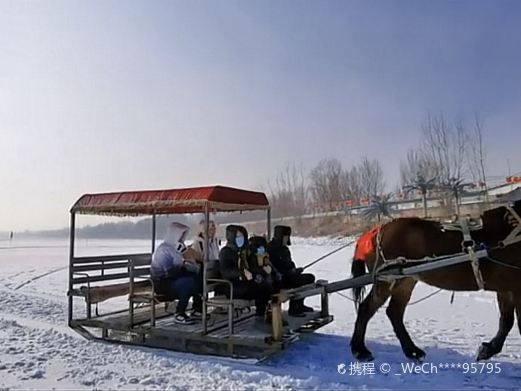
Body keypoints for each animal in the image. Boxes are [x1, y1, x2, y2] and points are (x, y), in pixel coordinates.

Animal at [350, 201, 520, 362]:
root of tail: (374, 232)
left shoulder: (507, 289)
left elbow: (506, 321)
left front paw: (488, 349)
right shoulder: (514, 289)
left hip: (405, 281)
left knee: (394, 312)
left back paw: (412, 351)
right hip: (387, 280)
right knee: (366, 308)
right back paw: (360, 350)